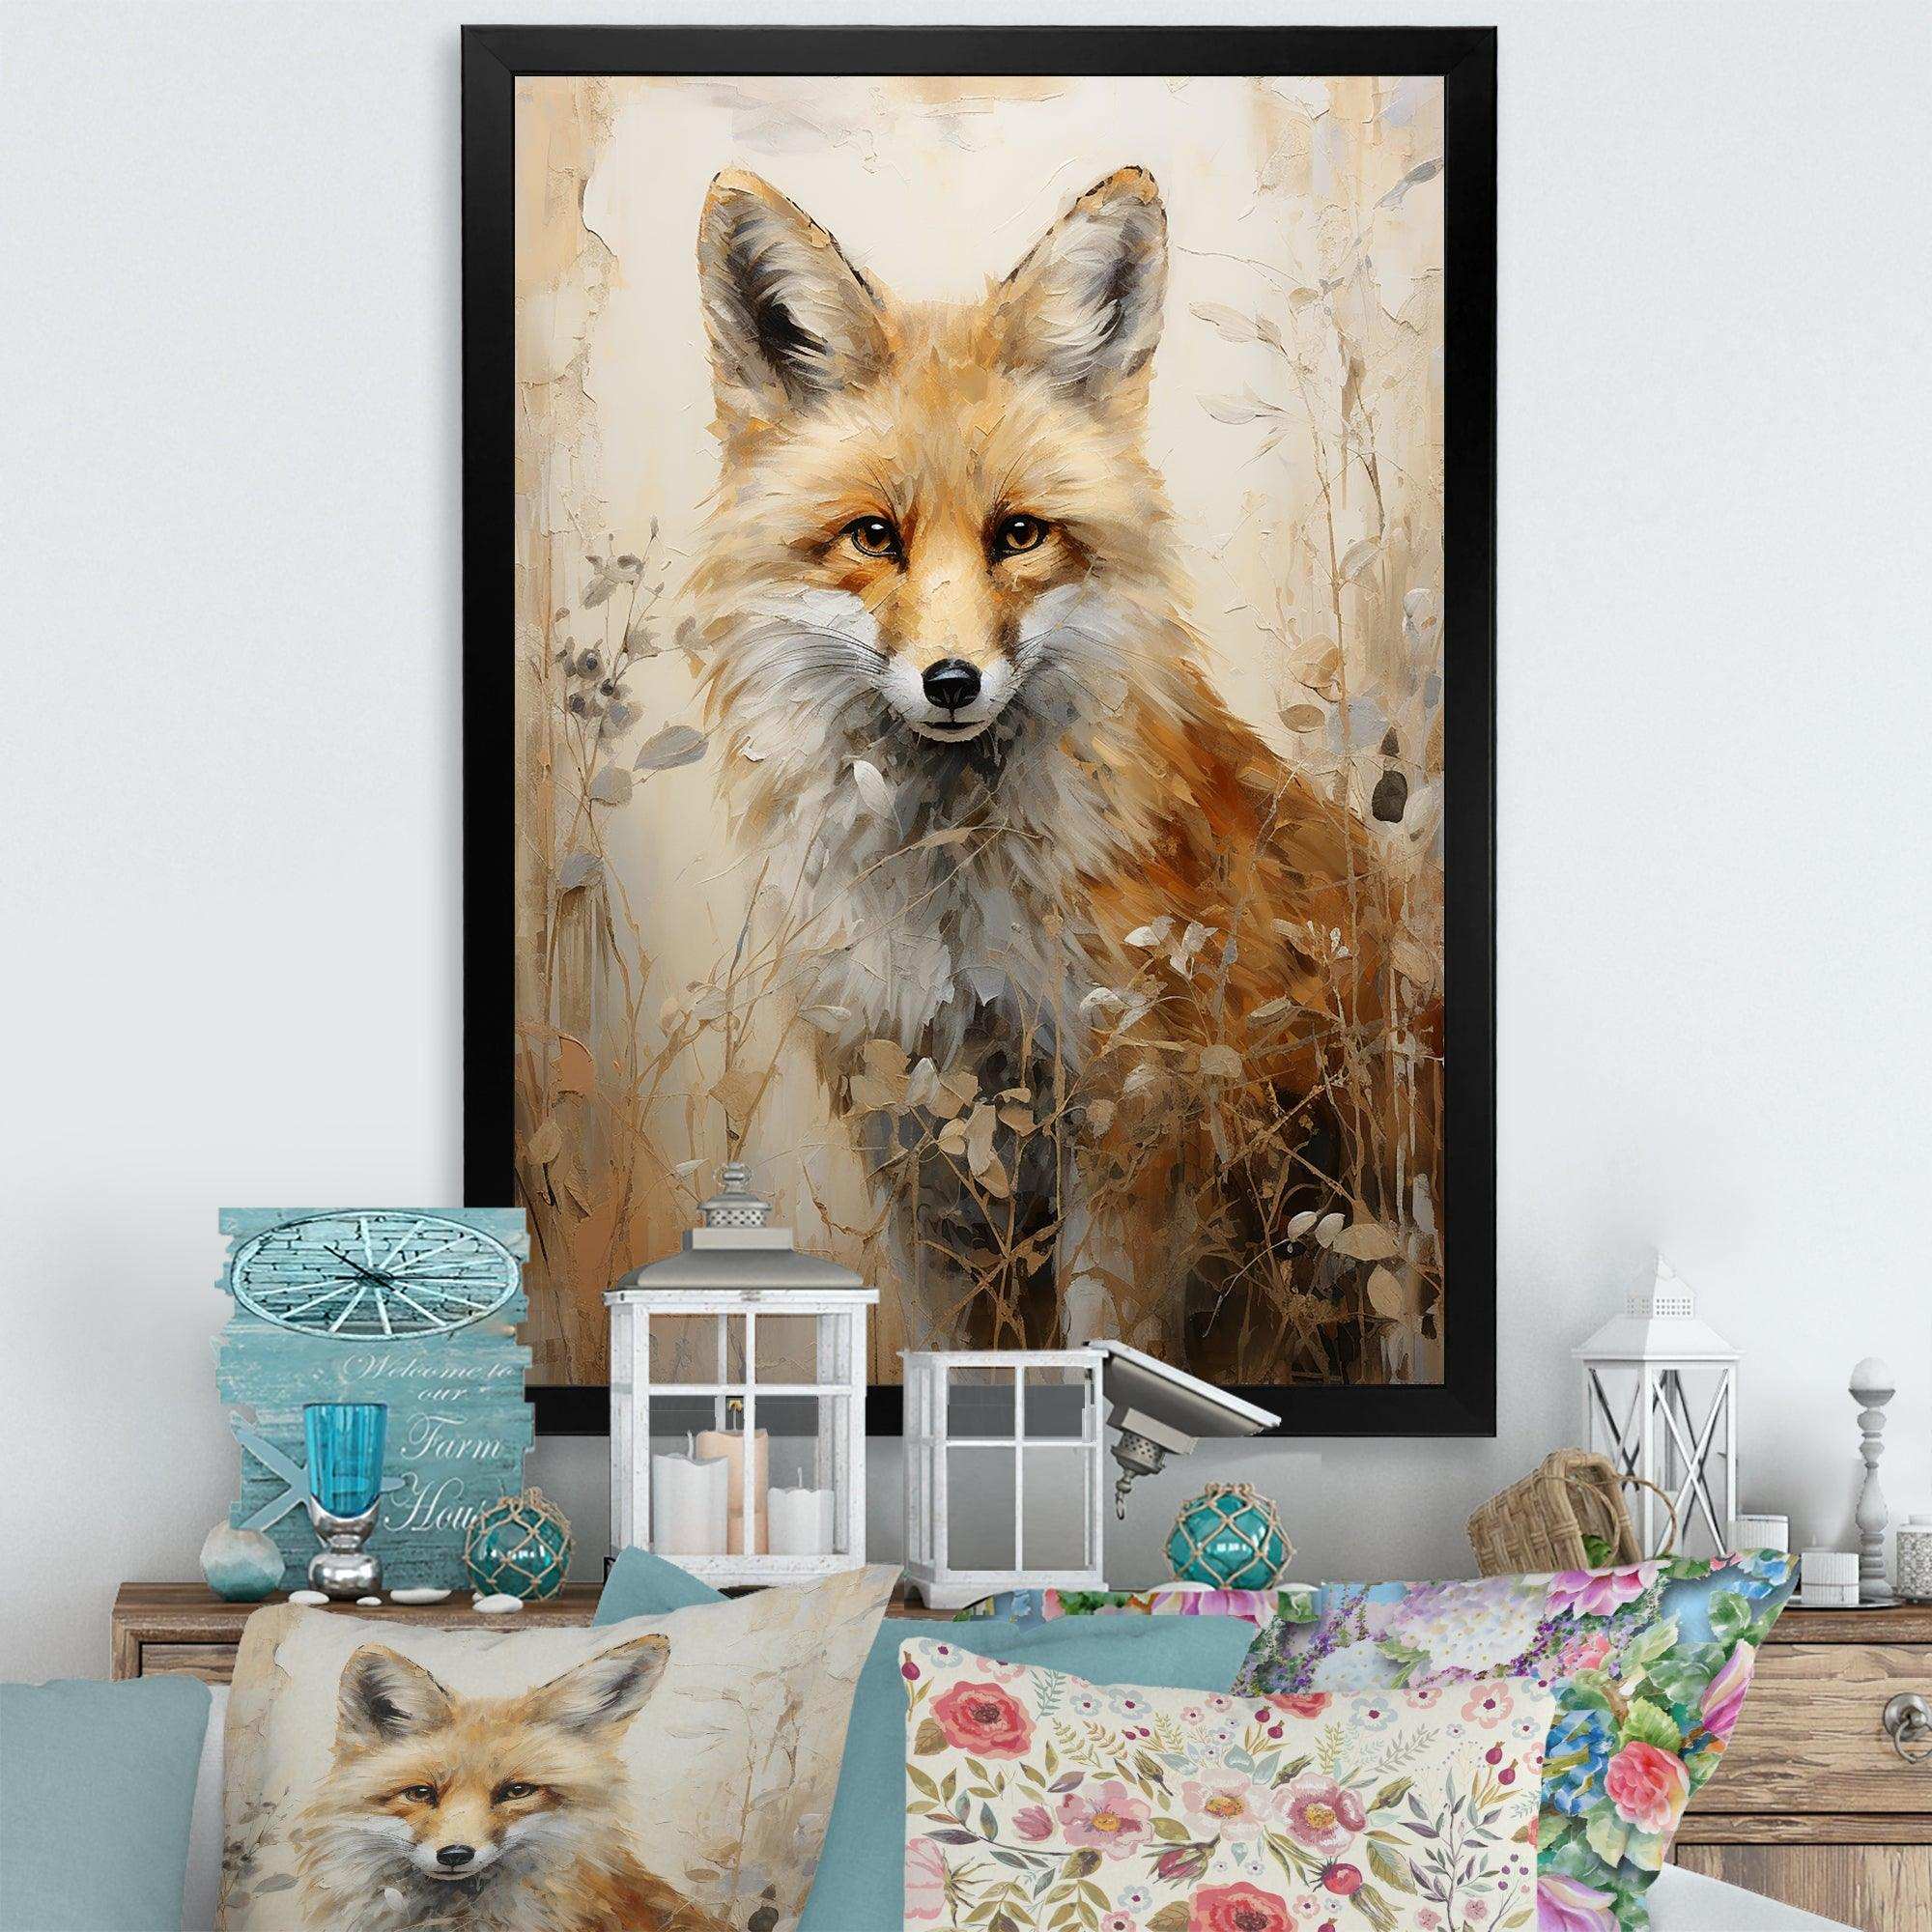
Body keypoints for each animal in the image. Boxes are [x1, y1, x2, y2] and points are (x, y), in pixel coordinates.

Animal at [689, 164, 1434, 1374]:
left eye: (1019, 534)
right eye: (873, 537)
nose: (951, 681)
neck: (954, 912)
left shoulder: (1124, 1127)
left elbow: (1105, 1345)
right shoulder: (914, 1144)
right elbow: (942, 1346)